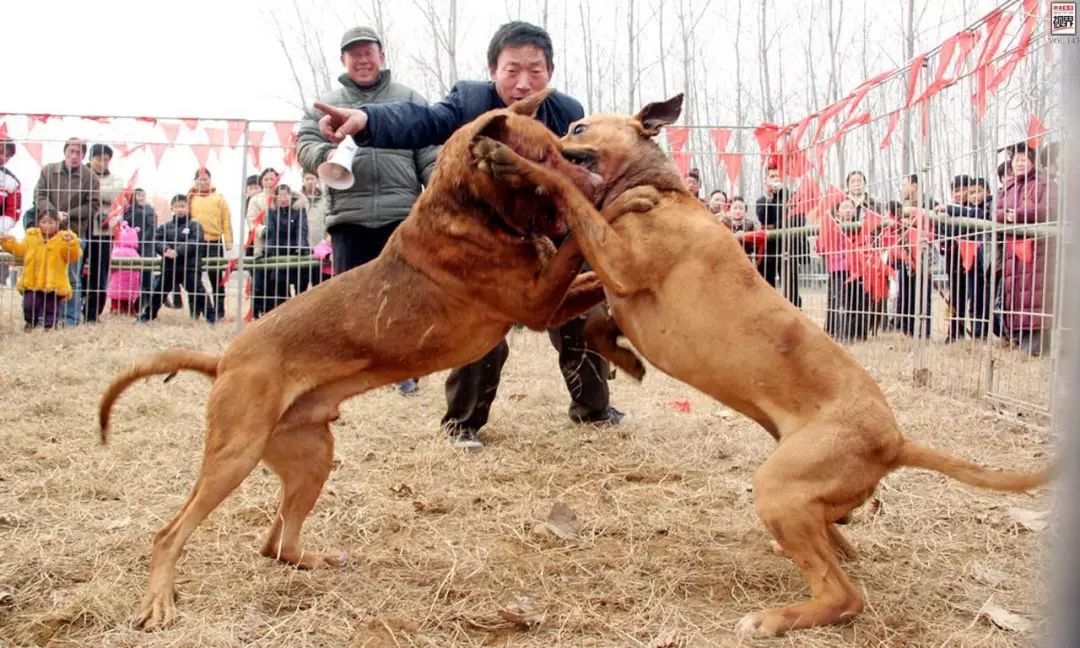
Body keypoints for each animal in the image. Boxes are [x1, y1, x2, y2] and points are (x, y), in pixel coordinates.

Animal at [99, 88, 656, 630]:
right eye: (540, 157)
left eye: (562, 148)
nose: (598, 180)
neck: (473, 212)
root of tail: (225, 361)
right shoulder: (538, 302)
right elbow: (580, 245)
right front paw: (627, 204)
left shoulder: (552, 299)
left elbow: (597, 287)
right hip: (234, 456)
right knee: (170, 533)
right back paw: (159, 599)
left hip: (312, 455)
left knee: (275, 543)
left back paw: (314, 560)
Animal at [470, 93, 1045, 635]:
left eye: (577, 128)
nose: (538, 131)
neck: (664, 190)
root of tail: (895, 441)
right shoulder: (614, 286)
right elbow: (593, 322)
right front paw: (625, 363)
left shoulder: (620, 261)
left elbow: (569, 195)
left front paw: (511, 160)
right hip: (804, 498)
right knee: (842, 546)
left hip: (779, 489)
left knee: (843, 593)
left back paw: (775, 618)